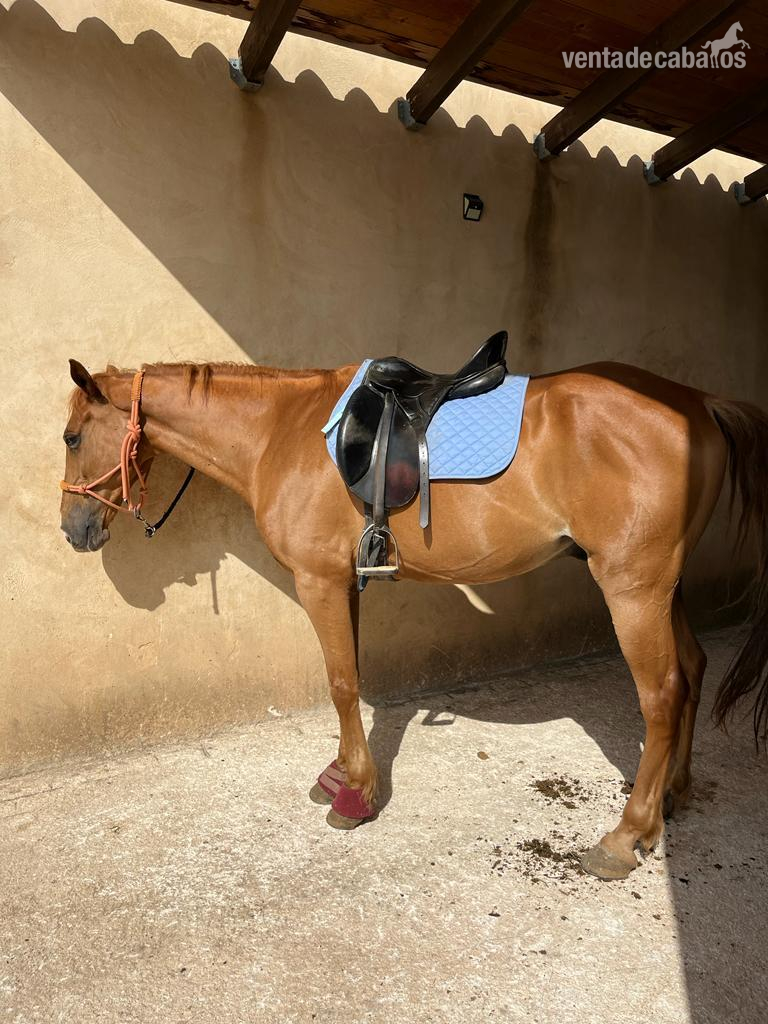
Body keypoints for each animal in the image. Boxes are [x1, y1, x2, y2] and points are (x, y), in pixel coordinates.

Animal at [59, 355, 768, 881]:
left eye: (71, 437)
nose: (74, 529)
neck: (281, 432)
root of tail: (698, 402)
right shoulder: (343, 582)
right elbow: (349, 680)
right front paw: (342, 773)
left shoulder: (318, 583)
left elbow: (341, 683)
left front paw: (356, 796)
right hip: (663, 586)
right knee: (694, 670)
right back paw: (671, 797)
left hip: (632, 588)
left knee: (662, 695)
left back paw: (625, 836)